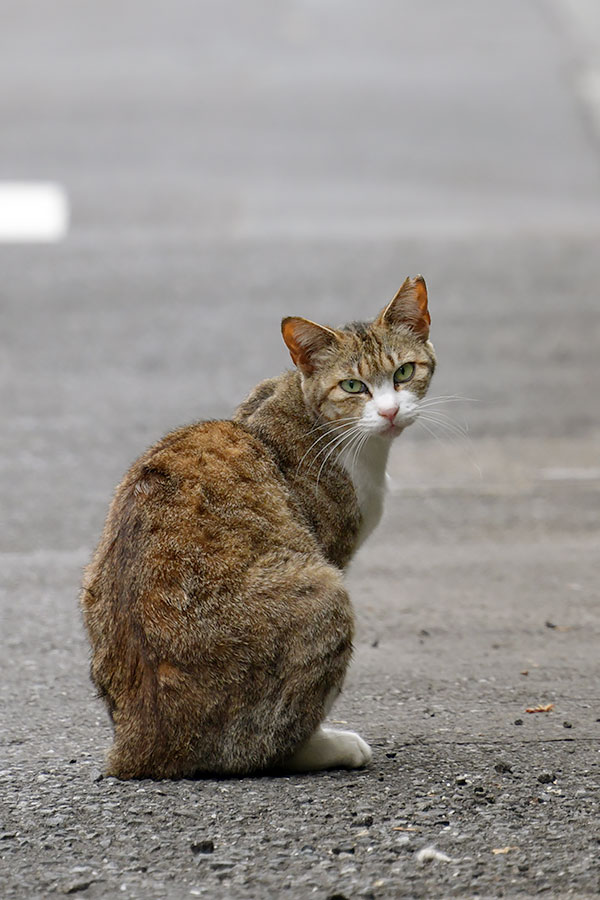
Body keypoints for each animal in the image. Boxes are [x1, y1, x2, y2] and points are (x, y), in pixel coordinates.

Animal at [79, 276, 436, 780]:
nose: (389, 412)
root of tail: (136, 745)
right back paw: (326, 746)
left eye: (404, 372)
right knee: (262, 744)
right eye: (353, 386)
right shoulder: (329, 547)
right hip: (323, 592)